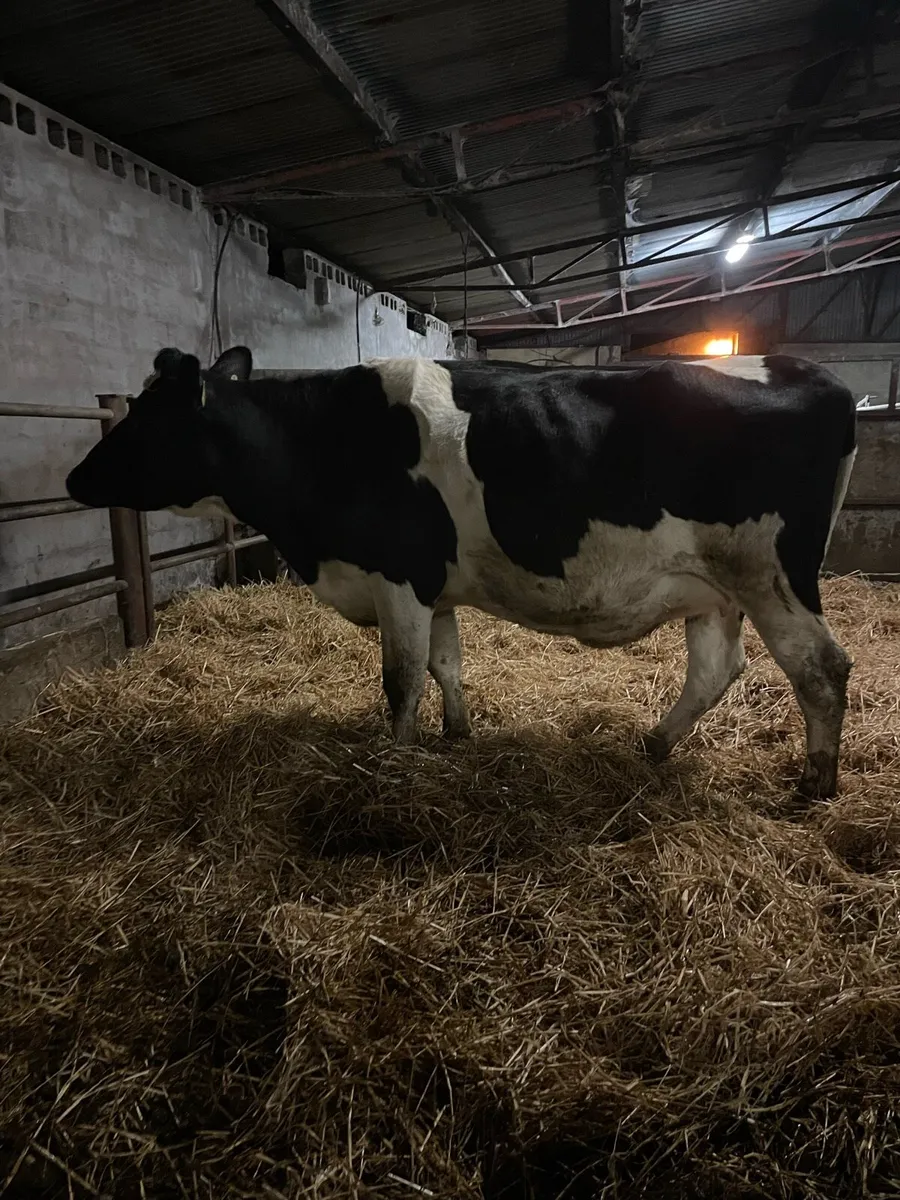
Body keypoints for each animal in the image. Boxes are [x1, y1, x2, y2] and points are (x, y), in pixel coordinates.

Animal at [65, 346, 857, 798]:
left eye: (143, 417)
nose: (74, 479)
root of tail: (819, 375)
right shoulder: (432, 587)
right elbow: (444, 663)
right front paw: (455, 734)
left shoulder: (397, 575)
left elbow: (400, 679)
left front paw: (394, 760)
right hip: (715, 587)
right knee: (719, 667)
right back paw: (657, 743)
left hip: (770, 572)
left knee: (821, 667)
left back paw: (816, 783)